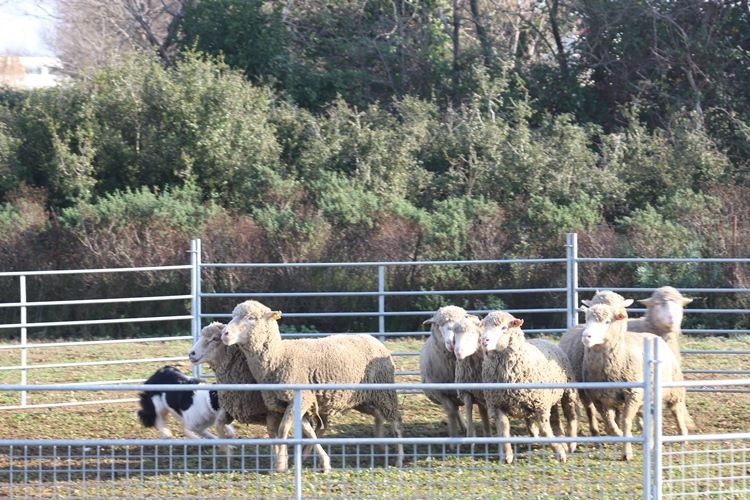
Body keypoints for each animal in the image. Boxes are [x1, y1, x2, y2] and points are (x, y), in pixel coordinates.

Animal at [222, 298, 406, 474]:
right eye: (233, 316)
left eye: (251, 318)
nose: (225, 333)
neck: (279, 357)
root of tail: (375, 340)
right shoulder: (298, 403)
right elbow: (309, 432)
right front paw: (320, 462)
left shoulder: (301, 398)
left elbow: (283, 430)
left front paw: (280, 465)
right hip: (361, 398)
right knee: (379, 415)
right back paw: (381, 445)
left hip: (383, 391)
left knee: (396, 420)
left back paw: (399, 459)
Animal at [424, 304, 470, 442]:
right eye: (439, 325)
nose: (452, 342)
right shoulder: (440, 392)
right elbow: (451, 411)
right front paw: (453, 434)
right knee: (455, 410)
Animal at [478, 312, 580, 464]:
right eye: (483, 326)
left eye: (504, 328)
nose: (484, 340)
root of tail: (543, 339)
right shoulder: (497, 405)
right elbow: (504, 430)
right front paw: (507, 456)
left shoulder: (540, 405)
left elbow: (544, 429)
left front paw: (559, 453)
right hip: (549, 397)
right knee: (554, 419)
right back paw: (559, 438)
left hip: (568, 391)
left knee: (570, 415)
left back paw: (571, 444)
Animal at [580, 300, 692, 460]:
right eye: (586, 319)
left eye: (607, 321)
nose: (586, 336)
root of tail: (654, 336)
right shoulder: (598, 397)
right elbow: (609, 422)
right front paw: (618, 435)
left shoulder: (633, 393)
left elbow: (626, 421)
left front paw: (627, 452)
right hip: (648, 397)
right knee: (650, 418)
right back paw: (650, 443)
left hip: (673, 387)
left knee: (677, 409)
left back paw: (682, 435)